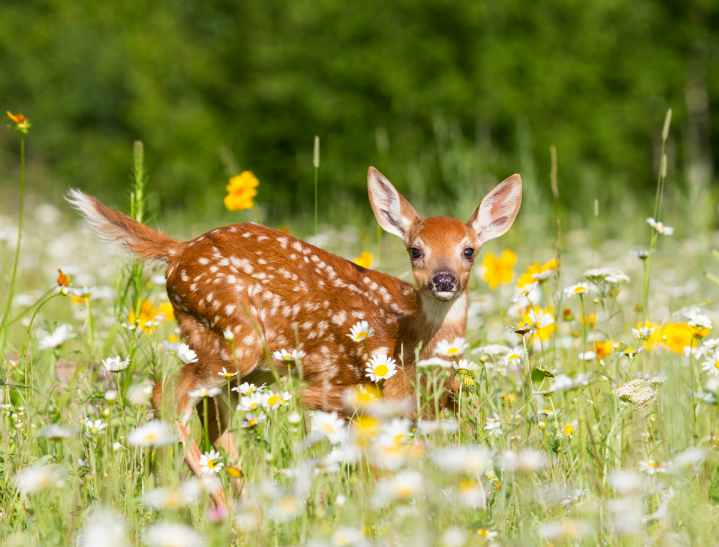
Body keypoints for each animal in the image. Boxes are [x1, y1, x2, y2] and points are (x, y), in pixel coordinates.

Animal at [68, 167, 521, 505]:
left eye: (469, 251)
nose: (444, 280)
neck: (407, 342)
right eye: (415, 250)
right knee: (168, 394)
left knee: (212, 414)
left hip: (245, 364)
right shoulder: (346, 394)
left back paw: (247, 505)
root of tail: (178, 251)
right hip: (235, 337)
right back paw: (224, 503)